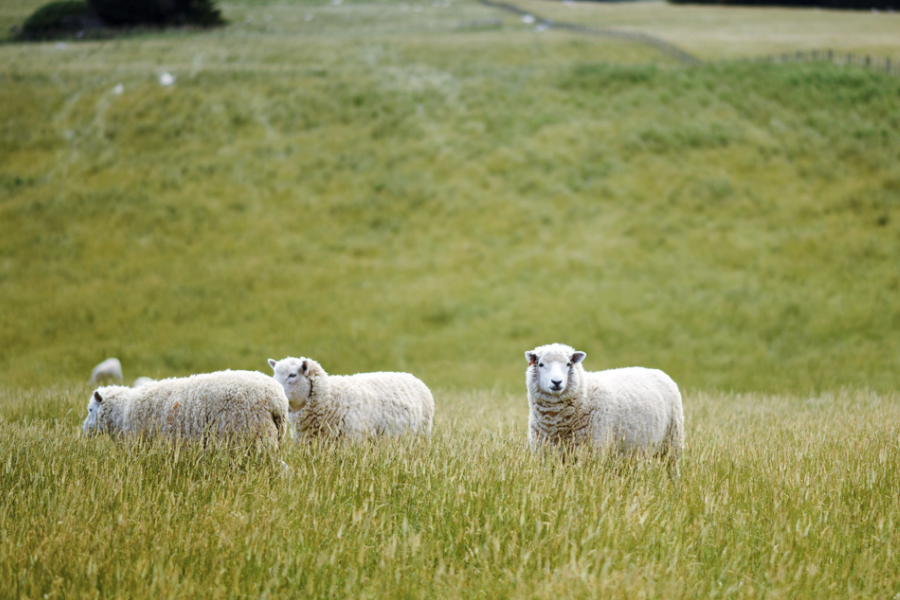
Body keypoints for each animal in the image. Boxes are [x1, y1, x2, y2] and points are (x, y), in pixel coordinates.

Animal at [520, 344, 684, 476]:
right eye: (541, 364)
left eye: (568, 364)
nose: (556, 382)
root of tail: (658, 371)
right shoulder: (546, 454)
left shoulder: (593, 452)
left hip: (672, 442)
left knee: (672, 467)